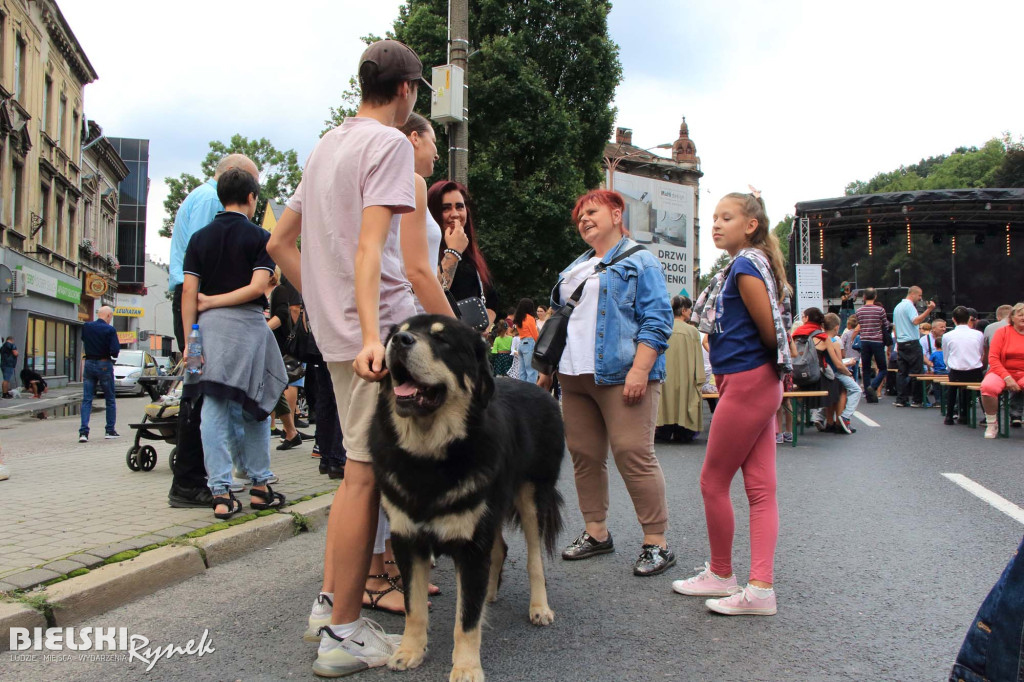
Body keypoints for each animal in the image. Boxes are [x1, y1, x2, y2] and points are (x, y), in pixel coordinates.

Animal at [368, 315, 565, 679]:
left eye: (442, 341)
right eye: (396, 333)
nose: (399, 342)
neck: (428, 457)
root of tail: (542, 390)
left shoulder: (471, 545)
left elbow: (466, 621)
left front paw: (466, 667)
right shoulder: (409, 540)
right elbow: (414, 607)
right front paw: (410, 651)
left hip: (530, 499)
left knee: (534, 560)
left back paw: (539, 607)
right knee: (499, 551)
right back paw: (489, 594)